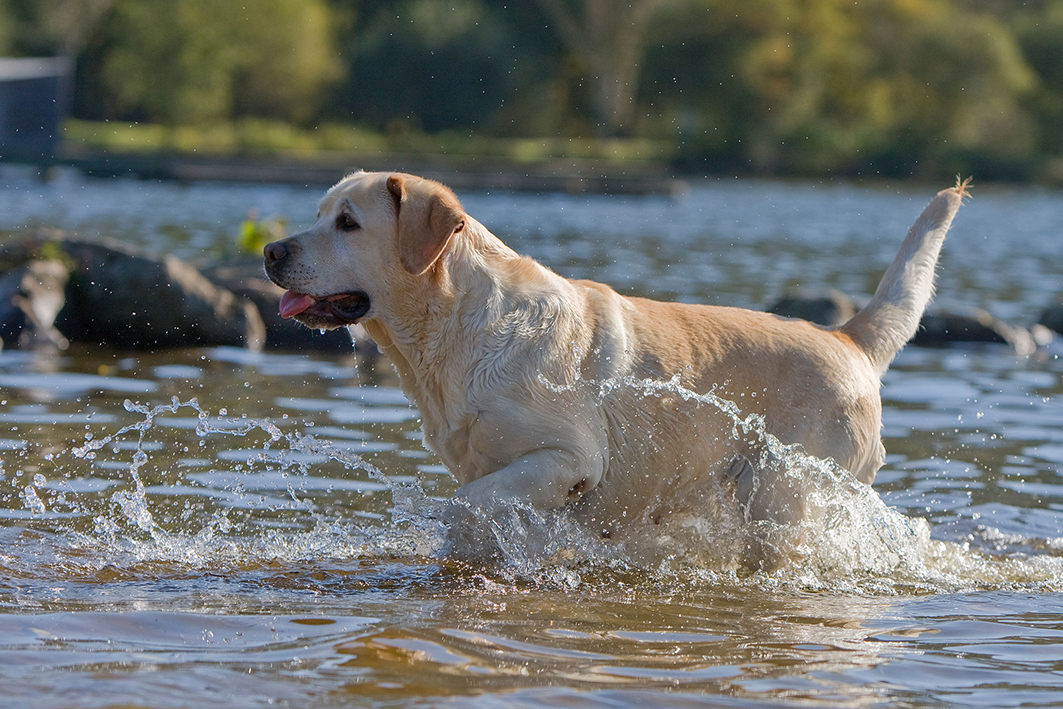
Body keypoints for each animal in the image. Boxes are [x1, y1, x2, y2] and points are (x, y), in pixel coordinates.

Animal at [261, 172, 969, 548]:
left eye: (348, 223)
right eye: (318, 214)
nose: (270, 251)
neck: (453, 332)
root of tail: (847, 339)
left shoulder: (566, 458)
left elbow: (460, 507)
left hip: (783, 494)